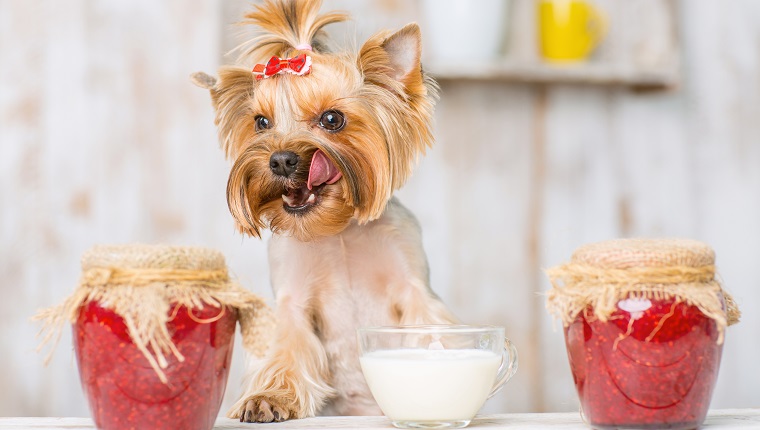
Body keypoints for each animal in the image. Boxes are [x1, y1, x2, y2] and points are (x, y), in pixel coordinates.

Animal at [193, 0, 460, 424]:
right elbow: (287, 347)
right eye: (261, 122)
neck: (340, 230)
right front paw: (269, 397)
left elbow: (426, 332)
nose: (280, 160)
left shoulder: (412, 286)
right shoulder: (292, 299)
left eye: (332, 119)